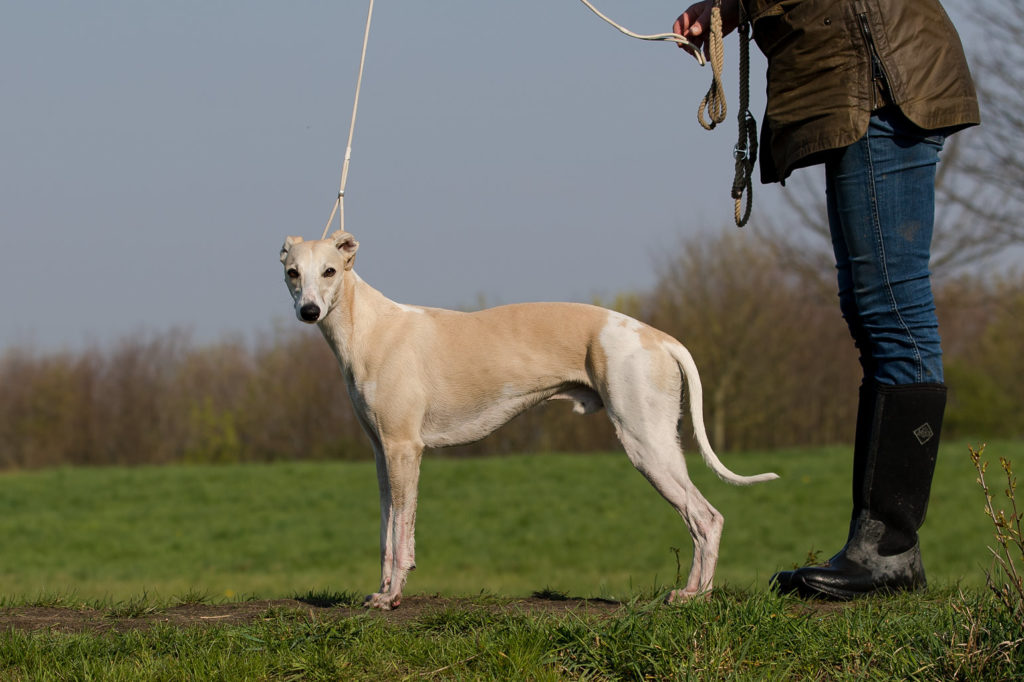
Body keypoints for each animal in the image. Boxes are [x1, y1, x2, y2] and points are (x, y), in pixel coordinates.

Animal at [280, 231, 774, 606]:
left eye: (330, 271)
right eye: (293, 272)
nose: (309, 311)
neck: (370, 327)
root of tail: (660, 338)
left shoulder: (405, 449)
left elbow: (400, 535)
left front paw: (391, 597)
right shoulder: (383, 454)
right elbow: (389, 532)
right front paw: (381, 591)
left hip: (646, 442)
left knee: (706, 517)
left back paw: (694, 596)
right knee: (702, 518)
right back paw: (694, 592)